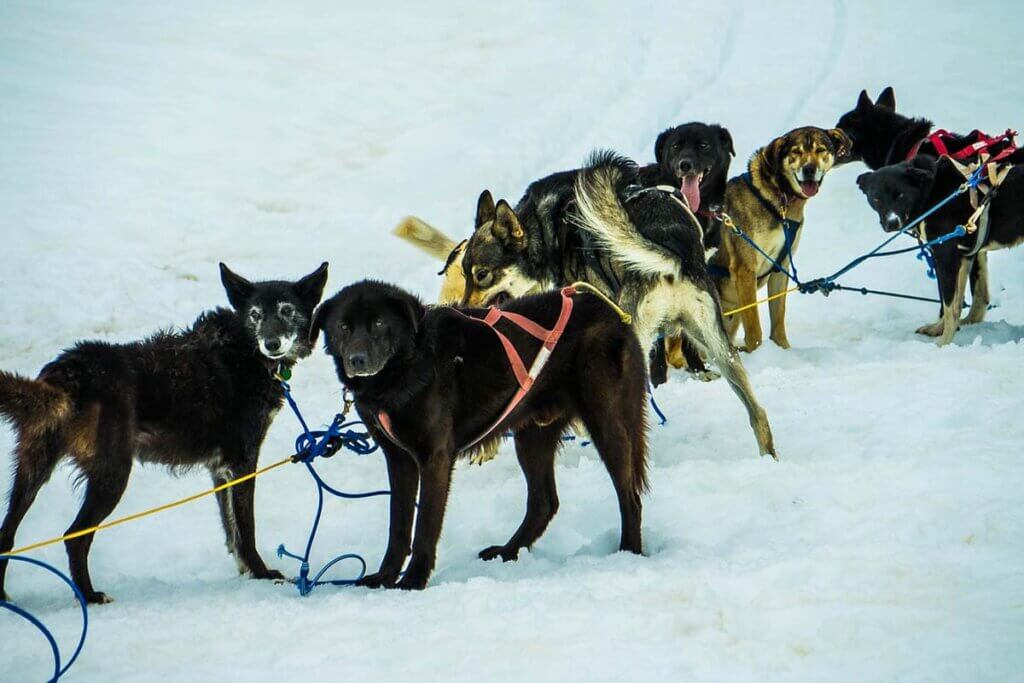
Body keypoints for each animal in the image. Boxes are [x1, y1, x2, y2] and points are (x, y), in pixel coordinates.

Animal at [1, 262, 327, 602]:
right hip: (112, 475)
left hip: (31, 473)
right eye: (255, 314)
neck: (244, 352)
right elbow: (246, 529)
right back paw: (90, 596)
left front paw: (246, 572)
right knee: (74, 537)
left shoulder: (220, 470)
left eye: (287, 311)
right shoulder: (242, 463)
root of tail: (68, 372)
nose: (271, 344)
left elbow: (231, 530)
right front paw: (262, 573)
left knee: (6, 536)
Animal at [313, 280, 647, 589]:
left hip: (608, 424)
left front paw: (413, 581)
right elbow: (399, 526)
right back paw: (508, 551)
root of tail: (611, 311)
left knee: (629, 496)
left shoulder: (435, 459)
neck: (407, 366)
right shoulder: (399, 460)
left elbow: (424, 527)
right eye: (343, 327)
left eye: (380, 324)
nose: (357, 360)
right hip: (532, 437)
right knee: (544, 502)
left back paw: (629, 553)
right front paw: (384, 577)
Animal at [712, 126, 847, 352]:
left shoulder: (780, 266)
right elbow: (754, 330)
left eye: (820, 150)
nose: (809, 169)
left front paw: (782, 350)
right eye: (796, 151)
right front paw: (757, 352)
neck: (780, 202)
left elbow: (778, 321)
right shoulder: (745, 268)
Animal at [860, 156, 1019, 344]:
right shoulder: (964, 256)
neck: (932, 192)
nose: (892, 223)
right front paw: (939, 329)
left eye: (900, 195)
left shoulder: (946, 257)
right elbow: (956, 303)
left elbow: (949, 306)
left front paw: (943, 344)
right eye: (876, 199)